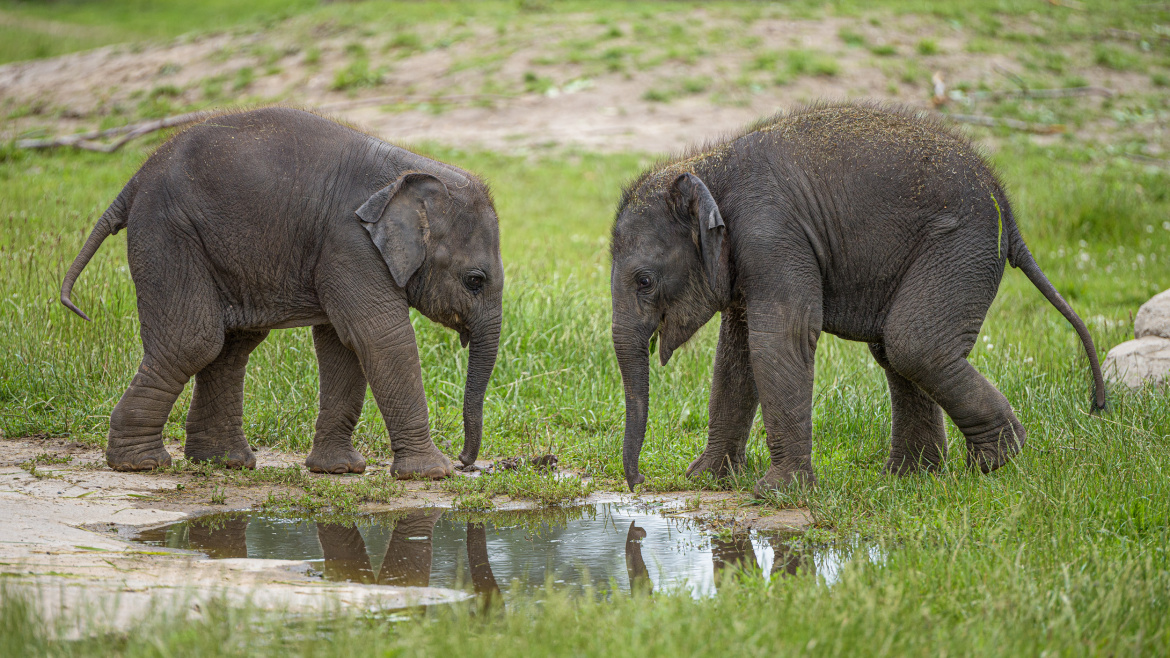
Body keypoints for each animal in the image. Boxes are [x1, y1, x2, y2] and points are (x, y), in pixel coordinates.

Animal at [62, 107, 503, 475]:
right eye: (474, 280)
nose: (465, 461)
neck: (412, 170)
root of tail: (135, 179)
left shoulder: (340, 250)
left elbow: (342, 345)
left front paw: (339, 470)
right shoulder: (350, 242)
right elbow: (379, 337)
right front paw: (432, 473)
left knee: (232, 345)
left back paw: (225, 462)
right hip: (168, 232)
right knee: (193, 341)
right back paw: (142, 464)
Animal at [613, 101, 1104, 491]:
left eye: (644, 281)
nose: (639, 483)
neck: (707, 166)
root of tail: (1003, 198)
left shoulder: (772, 235)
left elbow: (781, 337)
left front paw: (776, 492)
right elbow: (736, 350)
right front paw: (707, 479)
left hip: (961, 244)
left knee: (914, 344)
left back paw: (995, 460)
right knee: (896, 350)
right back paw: (912, 477)